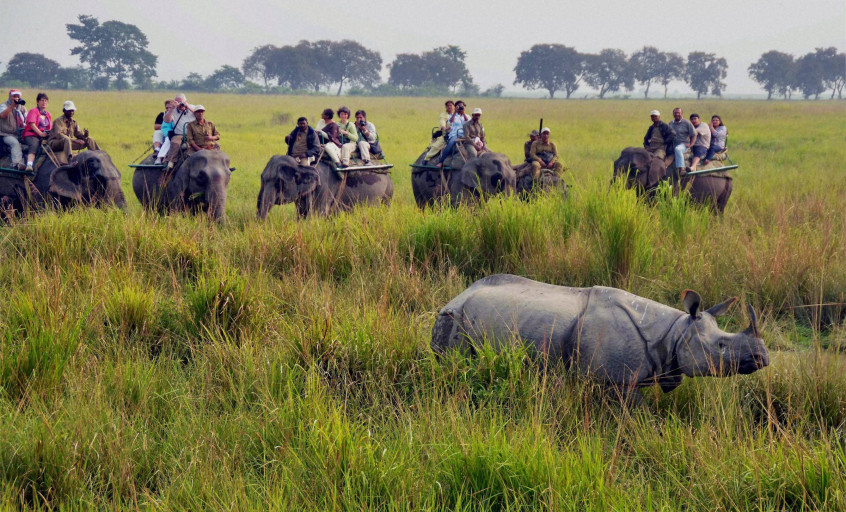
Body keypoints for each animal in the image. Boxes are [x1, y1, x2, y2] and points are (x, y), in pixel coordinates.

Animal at [257, 155, 393, 219]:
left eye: (279, 182)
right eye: (262, 179)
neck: (301, 164)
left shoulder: (323, 189)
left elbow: (316, 216)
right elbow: (301, 215)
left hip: (388, 193)